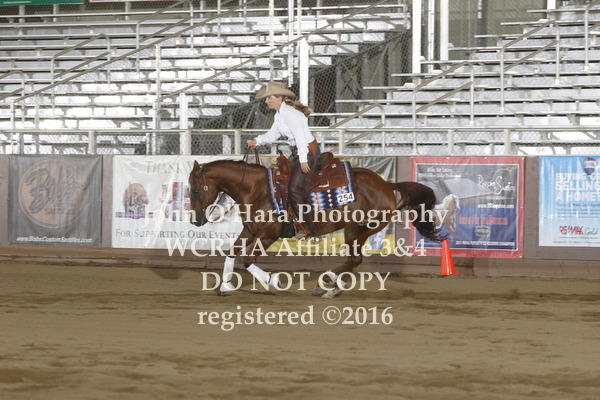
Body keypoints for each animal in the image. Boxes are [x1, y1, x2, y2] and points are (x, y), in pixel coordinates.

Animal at [188, 159, 442, 297]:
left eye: (196, 190)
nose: (195, 220)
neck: (257, 189)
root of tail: (386, 184)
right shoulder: (250, 231)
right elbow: (231, 253)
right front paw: (225, 285)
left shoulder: (268, 234)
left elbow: (248, 259)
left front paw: (274, 281)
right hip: (360, 232)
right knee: (354, 261)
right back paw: (332, 287)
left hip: (355, 230)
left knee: (354, 259)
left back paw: (326, 284)